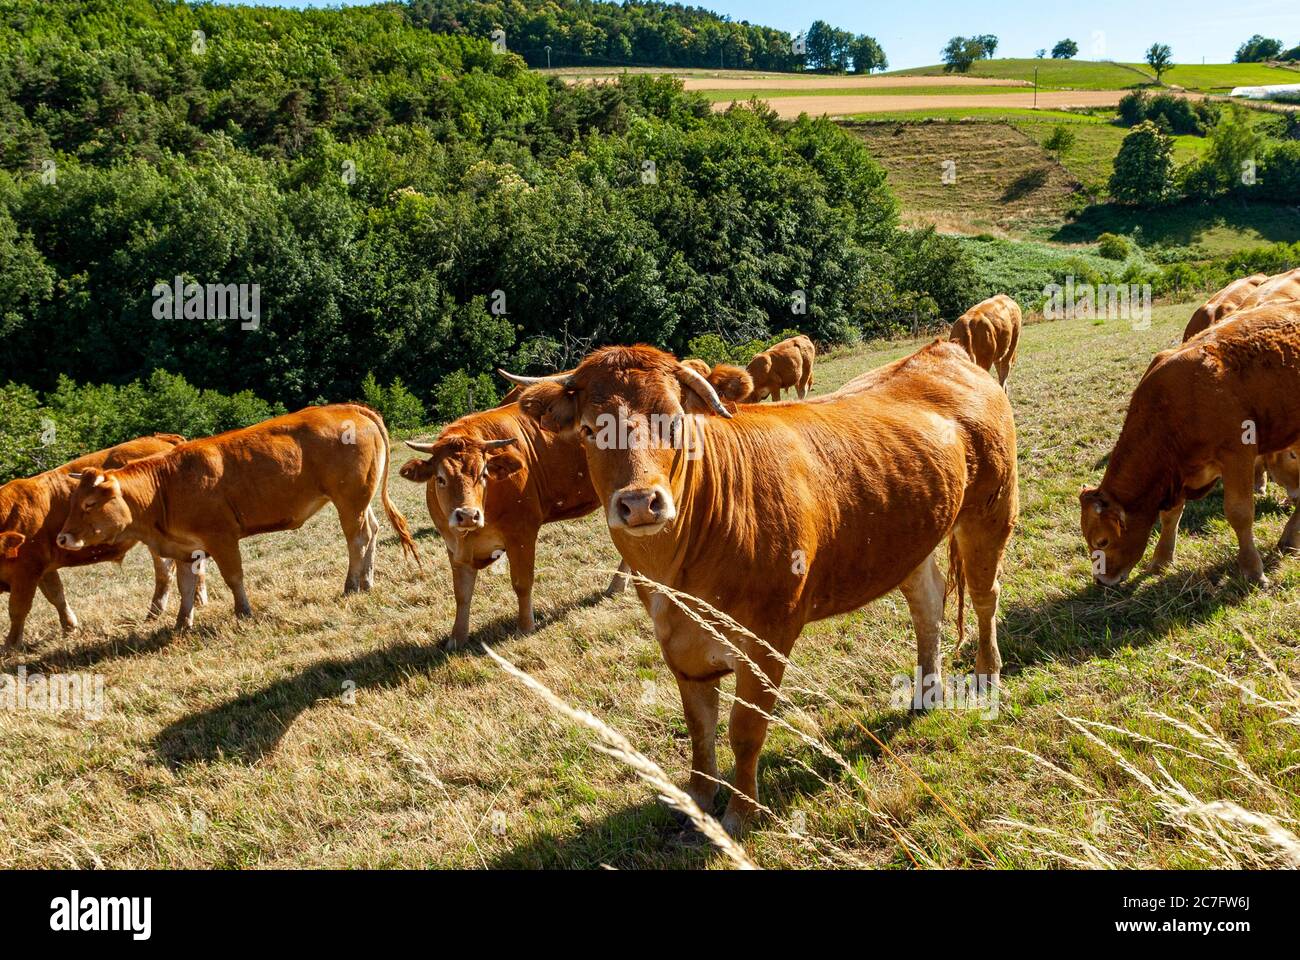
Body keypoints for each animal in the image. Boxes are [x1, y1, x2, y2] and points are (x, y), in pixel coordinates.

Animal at [1, 434, 200, 650]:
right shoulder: (43, 569)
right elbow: (56, 596)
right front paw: (69, 627)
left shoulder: (26, 571)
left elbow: (18, 608)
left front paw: (11, 644)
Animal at [55, 403, 416, 629]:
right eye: (72, 504)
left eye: (89, 504)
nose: (62, 536)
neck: (164, 486)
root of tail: (349, 408)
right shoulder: (185, 549)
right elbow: (186, 587)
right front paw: (181, 623)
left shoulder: (221, 537)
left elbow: (233, 577)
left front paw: (243, 612)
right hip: (359, 499)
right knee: (371, 530)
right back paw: (367, 580)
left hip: (349, 500)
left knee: (357, 538)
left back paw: (353, 584)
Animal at [400, 400, 634, 647]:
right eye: (440, 478)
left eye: (483, 474)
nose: (468, 515)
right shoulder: (453, 545)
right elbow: (462, 593)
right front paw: (457, 638)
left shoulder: (521, 533)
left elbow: (522, 582)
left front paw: (525, 627)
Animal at [501, 338, 1019, 832]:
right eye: (590, 431)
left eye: (677, 422)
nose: (641, 503)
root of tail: (942, 351)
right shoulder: (681, 648)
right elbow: (699, 730)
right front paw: (699, 801)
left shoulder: (768, 638)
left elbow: (745, 729)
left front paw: (741, 812)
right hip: (913, 538)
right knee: (927, 605)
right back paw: (924, 695)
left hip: (991, 512)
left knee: (985, 595)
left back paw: (986, 673)